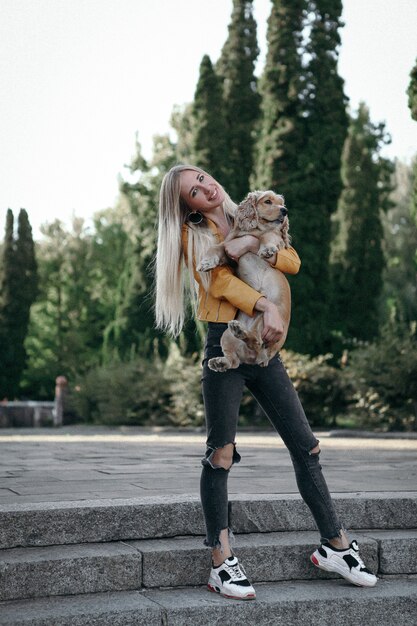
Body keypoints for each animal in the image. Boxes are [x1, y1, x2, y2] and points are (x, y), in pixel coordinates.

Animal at [197, 190, 290, 370]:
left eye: (281, 203)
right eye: (268, 201)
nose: (284, 211)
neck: (253, 230)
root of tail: (260, 359)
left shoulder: (277, 238)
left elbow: (268, 235)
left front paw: (266, 249)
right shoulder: (228, 247)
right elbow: (215, 247)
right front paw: (206, 262)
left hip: (268, 320)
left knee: (257, 341)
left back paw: (241, 331)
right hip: (226, 337)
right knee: (235, 360)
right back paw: (220, 360)